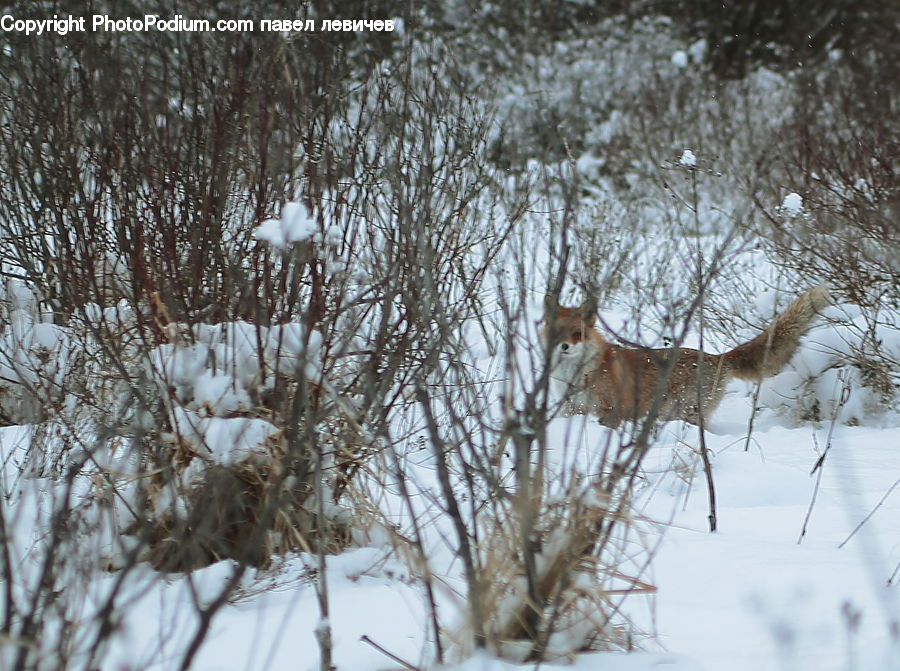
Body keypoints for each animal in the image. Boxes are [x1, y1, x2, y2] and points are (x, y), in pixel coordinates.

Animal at [540, 288, 828, 426]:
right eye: (558, 333)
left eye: (577, 334)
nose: (564, 347)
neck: (577, 375)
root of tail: (718, 357)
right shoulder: (573, 410)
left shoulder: (612, 411)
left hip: (687, 411)